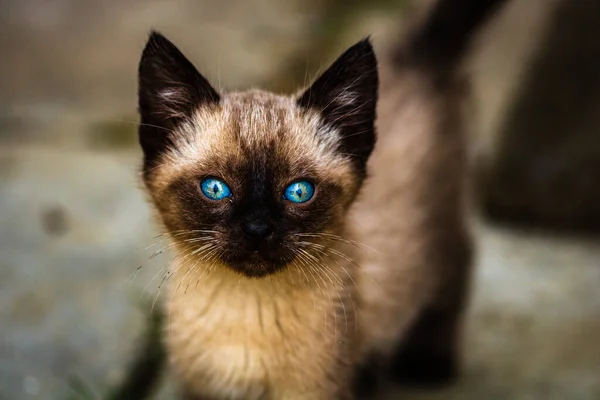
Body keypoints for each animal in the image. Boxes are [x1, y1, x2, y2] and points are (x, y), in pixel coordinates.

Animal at [136, 0, 506, 396]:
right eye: (215, 188)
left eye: (299, 192)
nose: (257, 229)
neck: (245, 309)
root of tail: (416, 56)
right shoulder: (200, 390)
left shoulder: (315, 390)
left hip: (438, 231)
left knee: (459, 259)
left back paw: (428, 362)